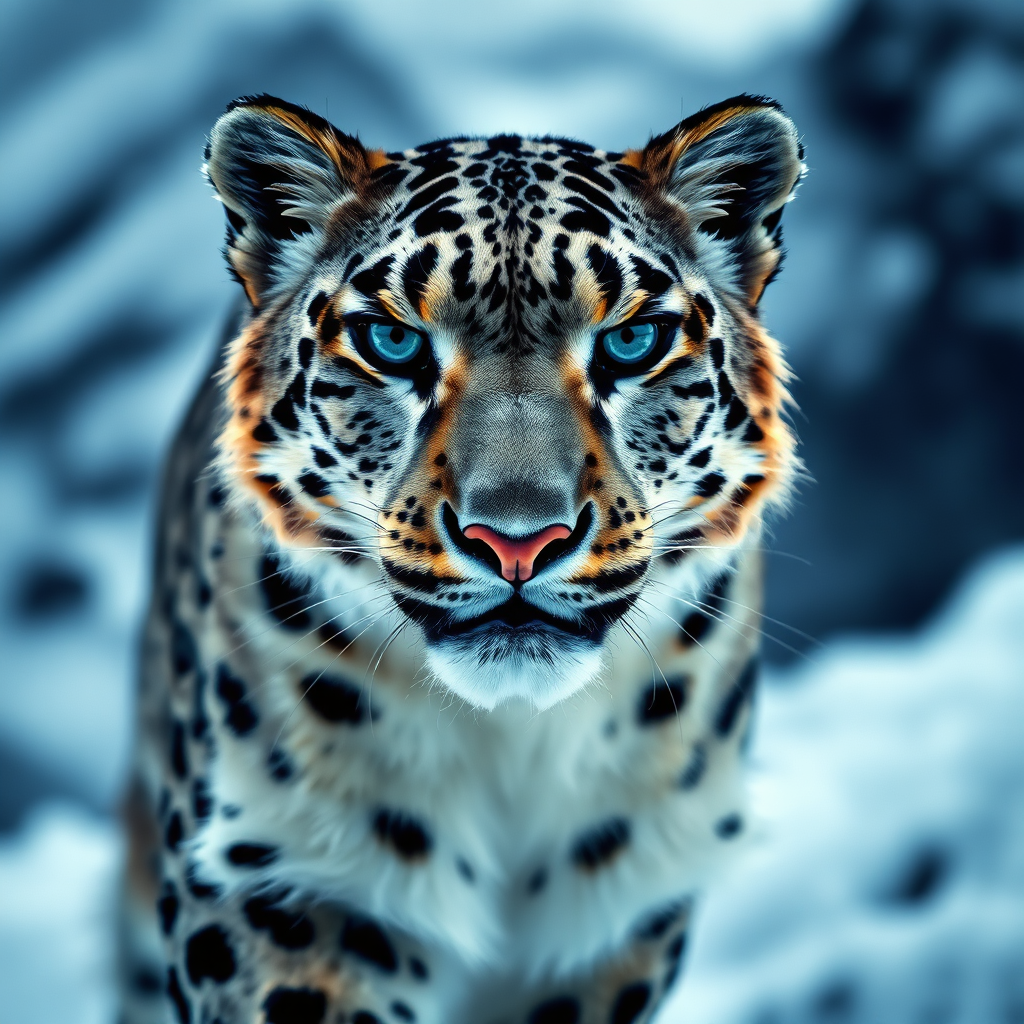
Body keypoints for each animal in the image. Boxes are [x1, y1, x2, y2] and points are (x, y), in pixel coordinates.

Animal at [116, 92, 803, 1024]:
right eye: (391, 343)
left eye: (632, 343)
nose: (517, 538)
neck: (510, 741)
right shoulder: (272, 876)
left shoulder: (621, 917)